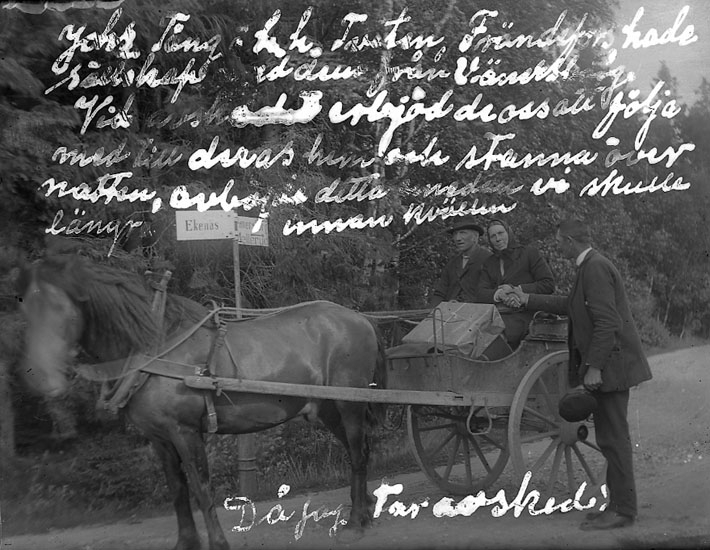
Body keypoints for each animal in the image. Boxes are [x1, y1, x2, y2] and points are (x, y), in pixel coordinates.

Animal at [19, 253, 387, 550]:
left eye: (58, 307)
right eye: (23, 306)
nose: (39, 378)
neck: (155, 348)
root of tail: (362, 319)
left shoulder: (185, 432)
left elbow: (201, 489)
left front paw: (218, 542)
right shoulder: (159, 438)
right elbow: (178, 491)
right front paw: (186, 542)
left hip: (349, 404)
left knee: (357, 454)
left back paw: (355, 522)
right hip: (328, 409)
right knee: (360, 451)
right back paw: (365, 510)